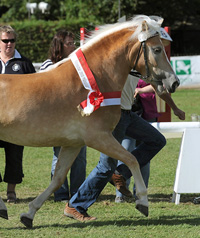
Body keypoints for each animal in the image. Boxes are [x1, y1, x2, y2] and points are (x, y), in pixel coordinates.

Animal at [0, 14, 179, 227]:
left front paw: (29, 214)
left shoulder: (73, 144)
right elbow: (132, 159)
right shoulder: (99, 137)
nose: (174, 83)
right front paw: (143, 202)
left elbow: (57, 179)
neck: (94, 82)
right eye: (157, 49)